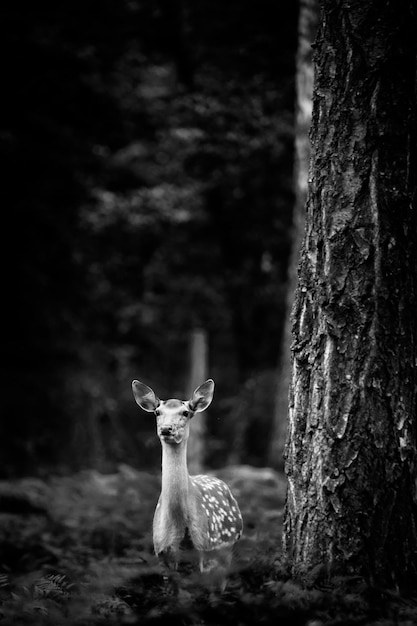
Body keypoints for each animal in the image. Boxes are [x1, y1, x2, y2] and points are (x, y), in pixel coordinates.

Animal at [132, 378, 242, 588]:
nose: (166, 429)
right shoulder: (162, 551)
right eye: (157, 412)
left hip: (227, 549)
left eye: (185, 412)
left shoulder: (205, 550)